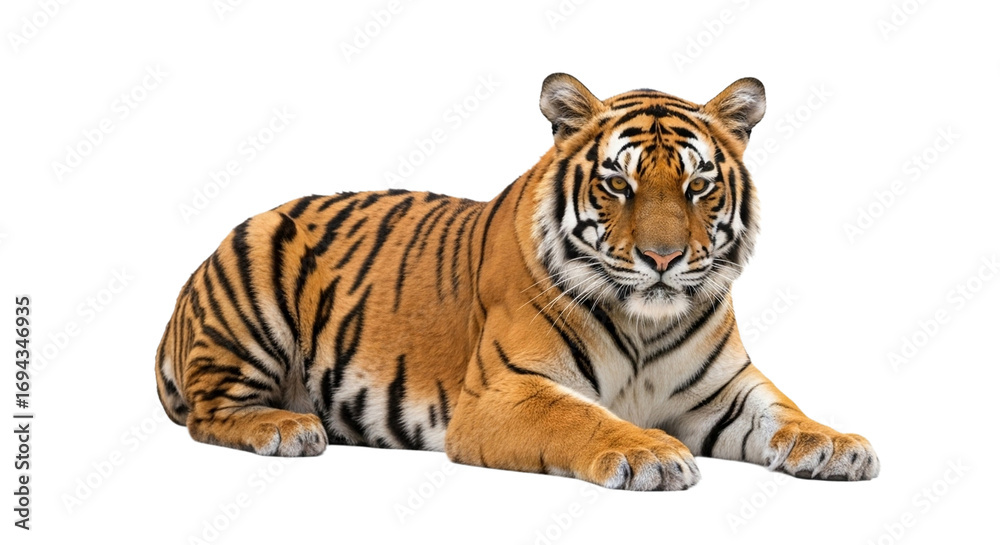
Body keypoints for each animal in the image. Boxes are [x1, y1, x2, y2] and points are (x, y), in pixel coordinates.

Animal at [155, 73, 879, 490]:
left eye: (698, 186)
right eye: (619, 184)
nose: (663, 258)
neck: (646, 325)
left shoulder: (724, 391)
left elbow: (784, 411)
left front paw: (837, 445)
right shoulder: (504, 391)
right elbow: (580, 416)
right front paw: (651, 450)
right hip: (255, 280)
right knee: (208, 415)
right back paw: (287, 428)